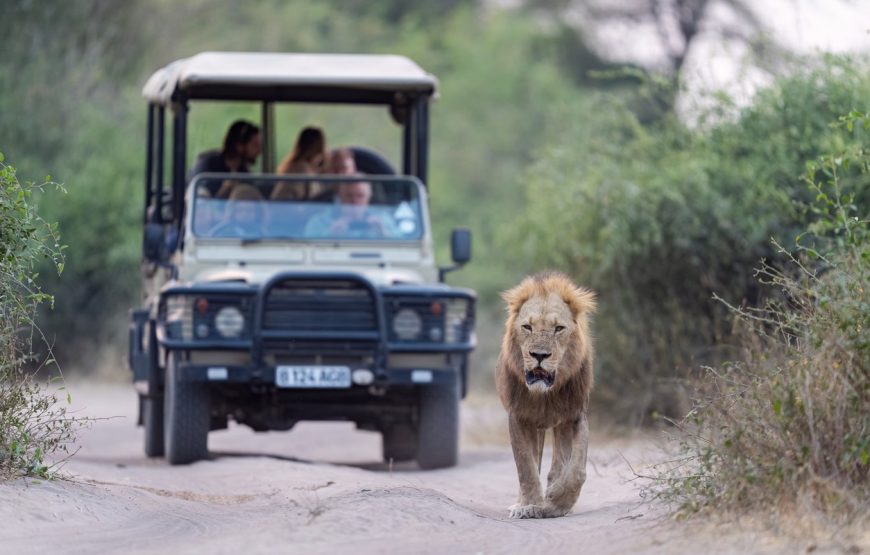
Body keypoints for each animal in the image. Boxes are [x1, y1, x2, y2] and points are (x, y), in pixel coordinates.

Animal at [498, 272, 600, 520]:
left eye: (559, 328)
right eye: (527, 327)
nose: (539, 355)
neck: (544, 395)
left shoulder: (576, 416)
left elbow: (577, 469)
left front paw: (557, 499)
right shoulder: (518, 417)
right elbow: (526, 468)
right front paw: (529, 506)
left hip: (559, 426)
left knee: (559, 464)